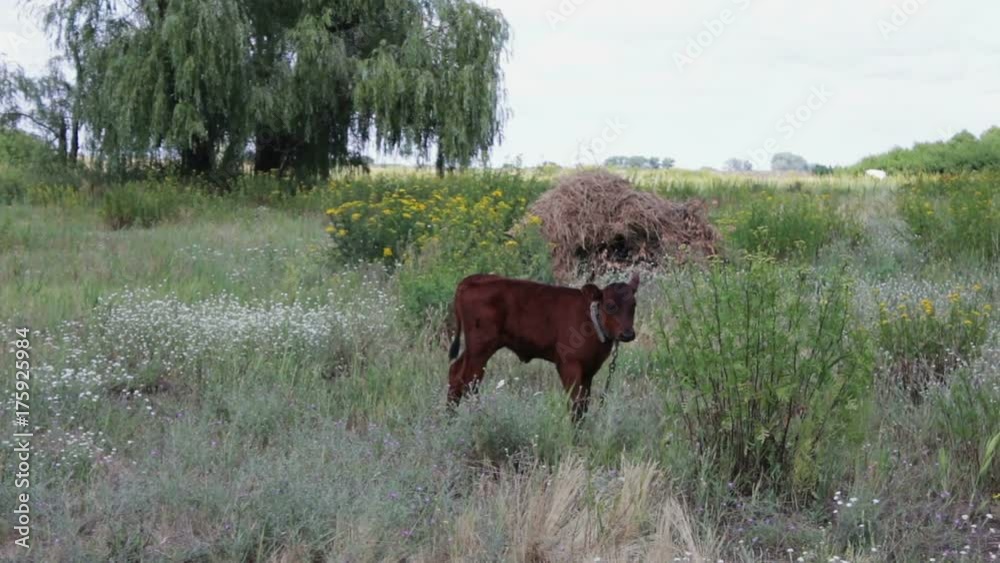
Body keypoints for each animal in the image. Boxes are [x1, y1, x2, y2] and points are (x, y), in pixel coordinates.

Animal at [447, 272, 640, 421]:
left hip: (475, 348)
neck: (591, 320)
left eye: (633, 304)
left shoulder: (589, 370)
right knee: (469, 381)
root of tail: (473, 279)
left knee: (455, 374)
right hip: (481, 347)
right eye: (610, 305)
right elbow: (575, 404)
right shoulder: (568, 364)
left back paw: (451, 420)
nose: (628, 334)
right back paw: (478, 419)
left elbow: (584, 405)